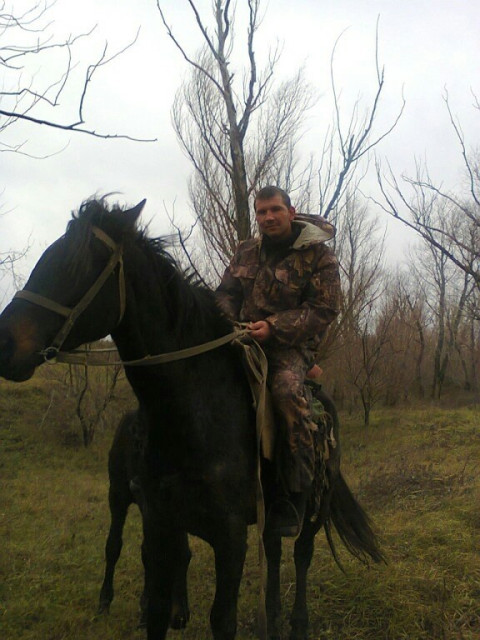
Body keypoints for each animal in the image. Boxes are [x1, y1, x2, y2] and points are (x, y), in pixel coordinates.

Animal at [0, 199, 382, 636]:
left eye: (78, 265)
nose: (4, 343)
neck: (194, 415)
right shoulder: (161, 523)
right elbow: (156, 606)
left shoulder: (230, 537)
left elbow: (223, 619)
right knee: (274, 552)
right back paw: (271, 616)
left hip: (315, 506)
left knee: (302, 553)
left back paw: (297, 623)